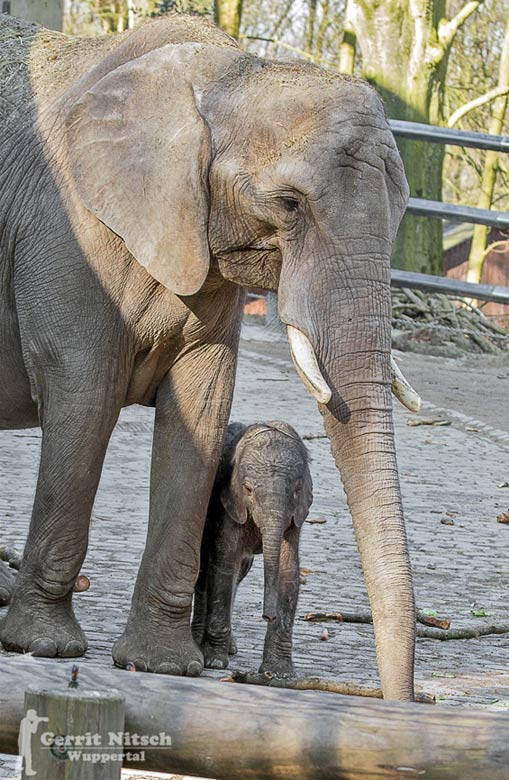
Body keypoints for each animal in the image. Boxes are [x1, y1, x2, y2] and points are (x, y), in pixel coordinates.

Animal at [190, 420, 310, 676]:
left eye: (297, 490)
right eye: (248, 490)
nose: (267, 616)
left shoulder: (295, 515)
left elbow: (288, 573)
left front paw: (280, 674)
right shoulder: (228, 503)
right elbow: (224, 565)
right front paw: (214, 662)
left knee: (240, 571)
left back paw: (230, 647)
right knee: (205, 572)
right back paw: (200, 643)